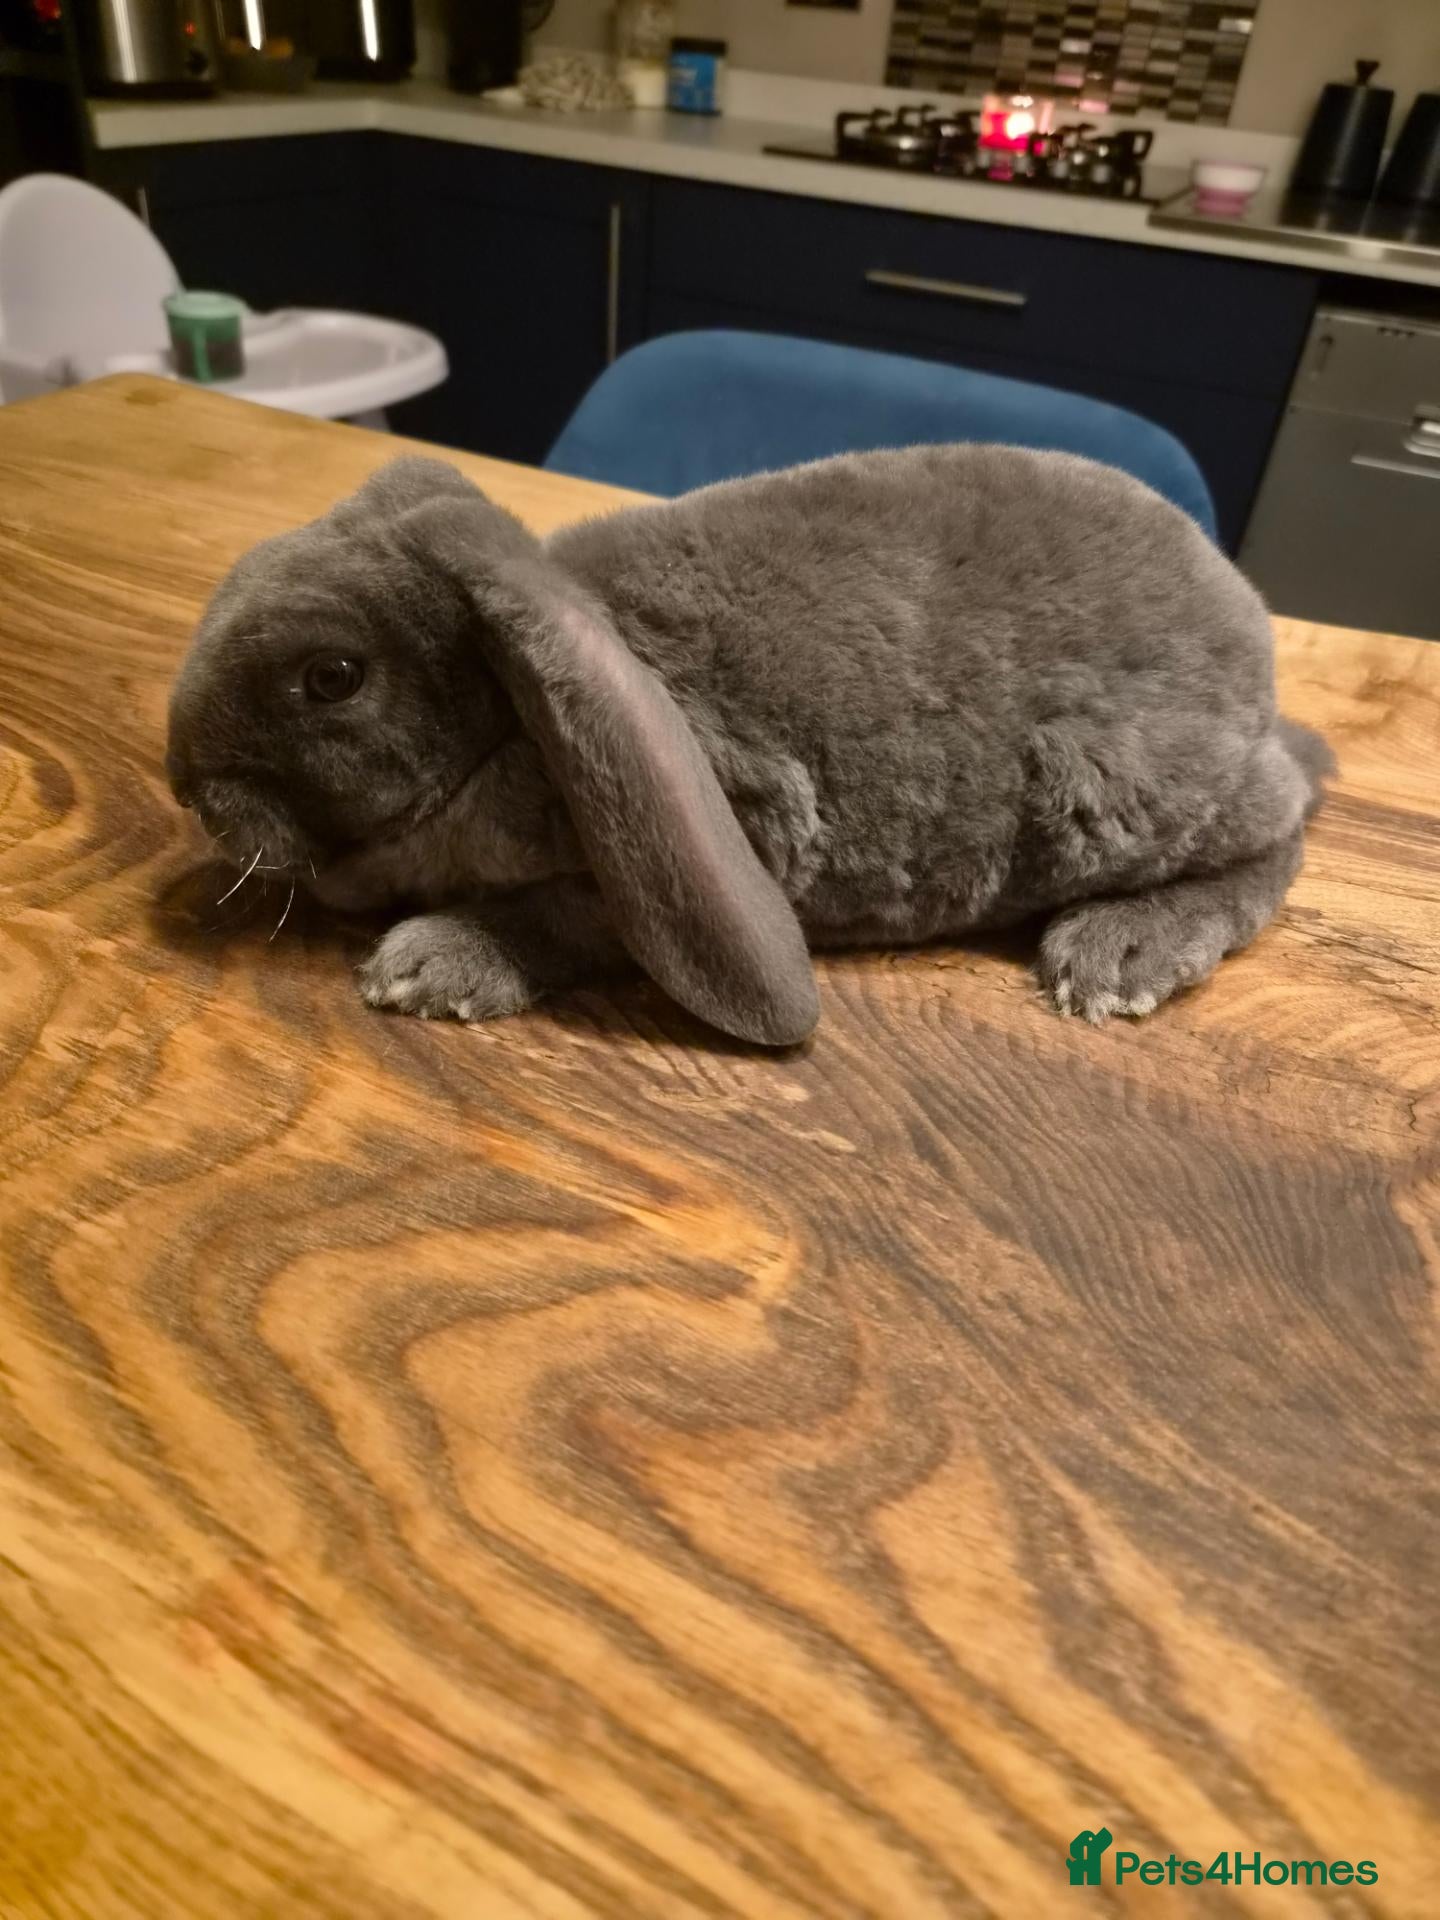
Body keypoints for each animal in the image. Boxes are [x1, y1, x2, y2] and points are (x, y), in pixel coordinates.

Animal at [166, 447, 1332, 1047]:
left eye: (332, 677)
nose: (185, 783)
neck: (501, 724)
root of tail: (1247, 630)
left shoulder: (733, 827)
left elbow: (567, 917)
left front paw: (431, 964)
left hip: (1117, 795)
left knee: (1274, 837)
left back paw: (1118, 954)